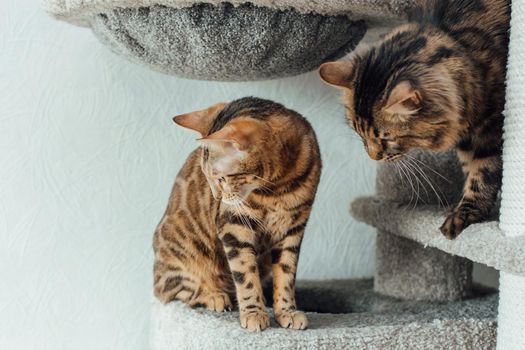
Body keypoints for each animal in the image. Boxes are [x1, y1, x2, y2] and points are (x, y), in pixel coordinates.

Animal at [152, 97, 320, 332]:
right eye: (207, 177)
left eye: (221, 178)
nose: (217, 197)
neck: (278, 188)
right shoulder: (234, 224)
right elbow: (245, 274)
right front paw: (254, 313)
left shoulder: (294, 228)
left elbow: (286, 273)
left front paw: (287, 311)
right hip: (182, 250)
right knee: (173, 291)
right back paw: (215, 295)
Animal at [320, 0, 508, 239]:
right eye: (358, 133)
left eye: (387, 138)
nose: (373, 157)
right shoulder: (468, 139)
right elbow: (470, 169)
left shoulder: (492, 129)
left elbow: (482, 173)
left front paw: (465, 215)